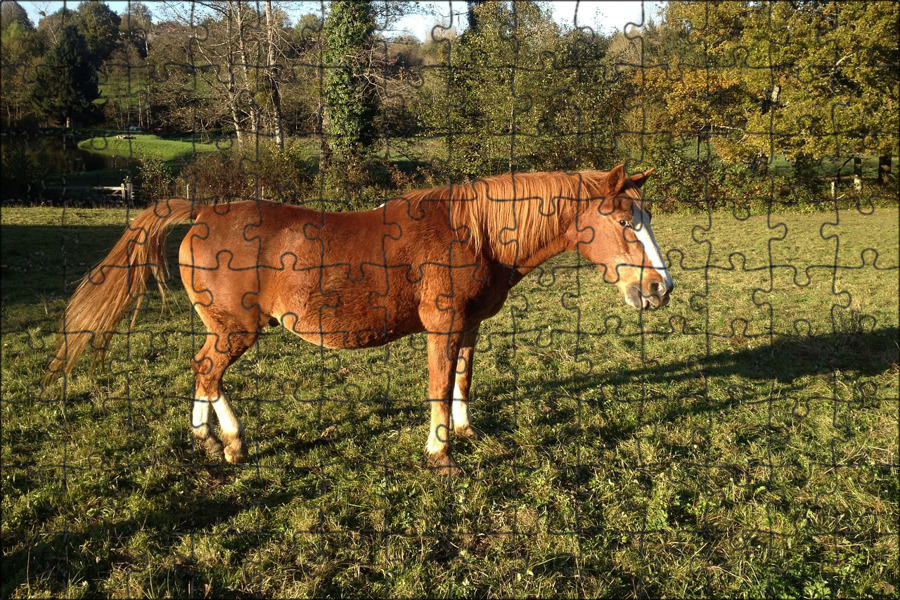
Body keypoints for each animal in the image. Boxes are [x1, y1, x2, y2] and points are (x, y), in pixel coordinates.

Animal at [45, 164, 672, 474]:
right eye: (624, 222)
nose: (660, 288)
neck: (474, 232)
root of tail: (203, 211)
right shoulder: (443, 327)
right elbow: (439, 384)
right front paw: (440, 452)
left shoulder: (469, 326)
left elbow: (463, 379)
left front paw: (467, 431)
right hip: (235, 329)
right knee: (208, 370)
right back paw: (232, 443)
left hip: (221, 327)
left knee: (202, 370)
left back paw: (205, 437)